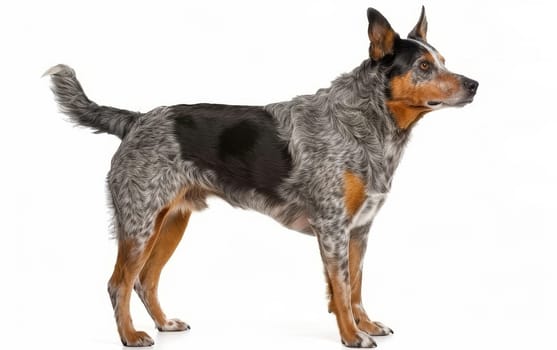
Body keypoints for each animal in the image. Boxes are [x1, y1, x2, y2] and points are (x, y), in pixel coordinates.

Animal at [44, 6, 478, 348]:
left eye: (443, 60)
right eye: (424, 67)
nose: (475, 84)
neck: (365, 122)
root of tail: (135, 120)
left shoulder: (359, 229)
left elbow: (355, 284)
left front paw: (365, 324)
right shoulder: (333, 227)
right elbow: (340, 287)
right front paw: (352, 335)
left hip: (170, 222)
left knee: (145, 280)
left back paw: (164, 324)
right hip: (140, 223)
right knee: (119, 283)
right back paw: (130, 336)